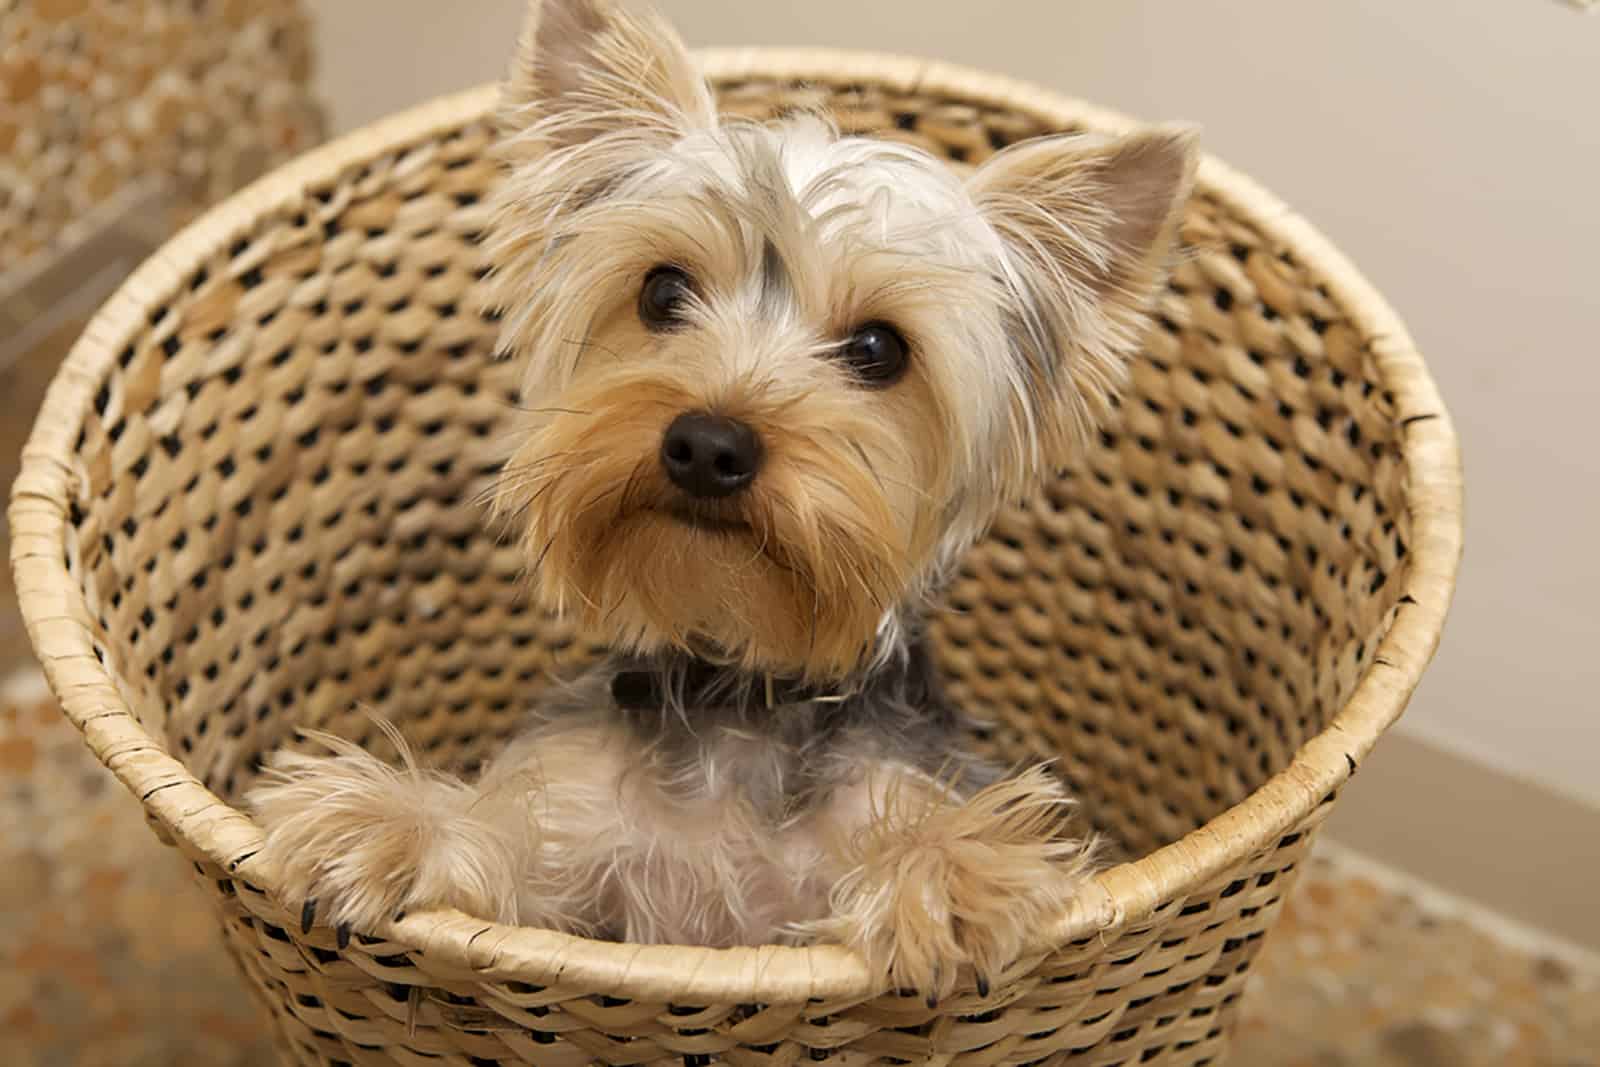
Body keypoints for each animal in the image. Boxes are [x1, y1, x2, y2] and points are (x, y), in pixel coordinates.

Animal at [246, 0, 1203, 1004]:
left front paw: (946, 874)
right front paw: (387, 823)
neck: (739, 686)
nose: (709, 444)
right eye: (663, 289)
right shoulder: (574, 854)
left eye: (879, 349)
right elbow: (505, 845)